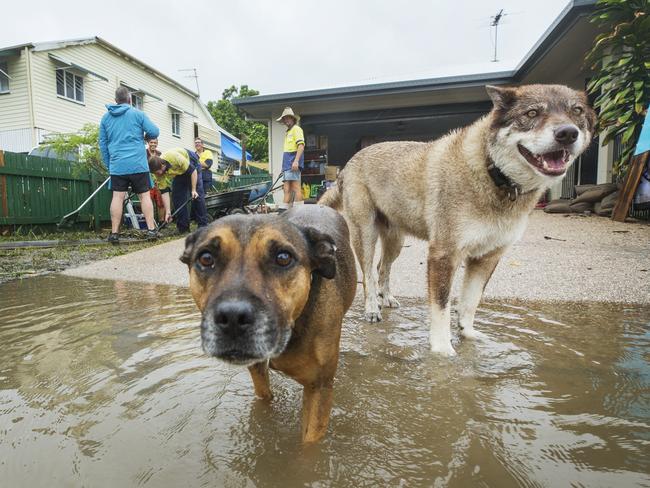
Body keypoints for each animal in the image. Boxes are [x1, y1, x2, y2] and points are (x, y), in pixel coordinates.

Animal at [180, 204, 356, 440]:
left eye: (283, 257)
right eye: (206, 258)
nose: (233, 318)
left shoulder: (319, 388)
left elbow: (309, 444)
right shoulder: (257, 370)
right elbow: (263, 402)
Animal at [322, 84, 596, 354]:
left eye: (577, 112)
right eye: (532, 113)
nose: (567, 133)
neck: (492, 171)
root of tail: (350, 162)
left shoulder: (487, 257)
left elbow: (470, 302)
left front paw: (469, 334)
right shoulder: (444, 255)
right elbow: (441, 308)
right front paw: (443, 350)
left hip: (395, 241)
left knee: (383, 268)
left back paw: (386, 298)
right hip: (365, 233)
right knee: (368, 274)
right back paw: (371, 308)